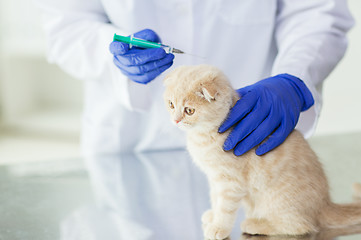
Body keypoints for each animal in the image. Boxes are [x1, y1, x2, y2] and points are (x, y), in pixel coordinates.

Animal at [162, 64, 360, 239]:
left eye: (189, 110)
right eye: (171, 105)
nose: (176, 120)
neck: (204, 135)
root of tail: (324, 204)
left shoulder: (230, 181)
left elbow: (225, 207)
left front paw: (219, 227)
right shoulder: (214, 178)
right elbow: (215, 198)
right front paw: (213, 216)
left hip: (278, 202)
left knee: (301, 226)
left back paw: (255, 224)